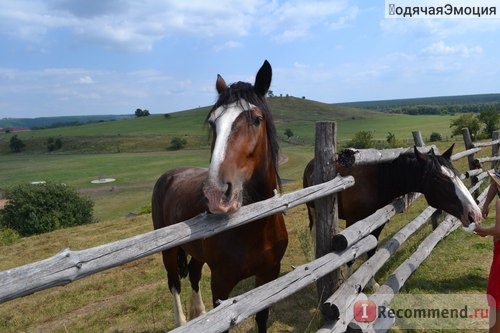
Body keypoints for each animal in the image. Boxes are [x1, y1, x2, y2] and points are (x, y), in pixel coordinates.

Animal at [150, 61, 288, 330]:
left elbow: (262, 318)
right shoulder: (221, 285)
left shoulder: (269, 275)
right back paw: (182, 320)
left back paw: (198, 312)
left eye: (256, 119)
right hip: (169, 252)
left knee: (193, 272)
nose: (216, 193)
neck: (256, 225)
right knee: (174, 282)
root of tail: (168, 175)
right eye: (213, 123)